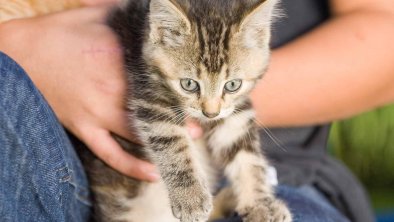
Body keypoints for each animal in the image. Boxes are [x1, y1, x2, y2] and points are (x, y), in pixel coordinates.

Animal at [79, 0, 292, 222]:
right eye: (189, 84)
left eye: (232, 85)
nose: (210, 113)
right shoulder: (151, 95)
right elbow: (172, 144)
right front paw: (191, 198)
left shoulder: (235, 112)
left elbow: (247, 157)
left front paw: (261, 204)